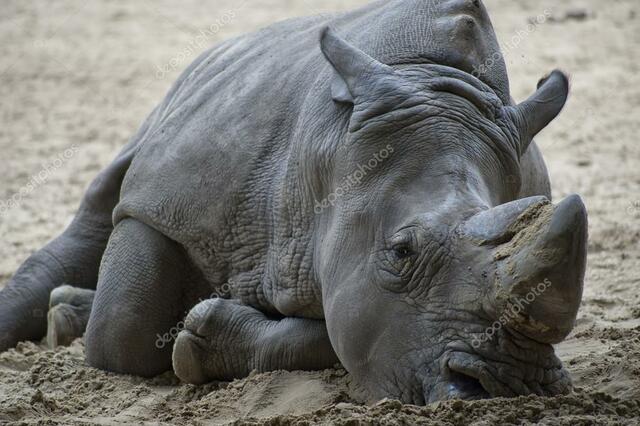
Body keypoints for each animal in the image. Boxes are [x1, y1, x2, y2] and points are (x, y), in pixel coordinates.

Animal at [0, 0, 587, 404]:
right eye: (401, 253)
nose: (511, 384)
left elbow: (344, 333)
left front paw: (204, 334)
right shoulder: (163, 203)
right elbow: (123, 332)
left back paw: (68, 312)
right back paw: (61, 318)